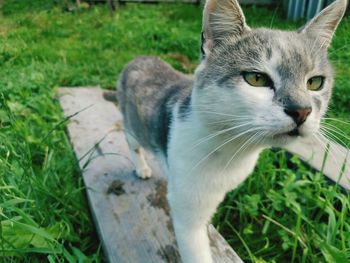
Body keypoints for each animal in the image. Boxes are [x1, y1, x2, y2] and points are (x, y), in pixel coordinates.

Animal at [117, 1, 348, 262]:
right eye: (256, 78)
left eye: (315, 82)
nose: (301, 110)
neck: (232, 150)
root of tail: (139, 58)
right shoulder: (186, 208)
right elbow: (196, 249)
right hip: (131, 126)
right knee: (132, 142)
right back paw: (142, 168)